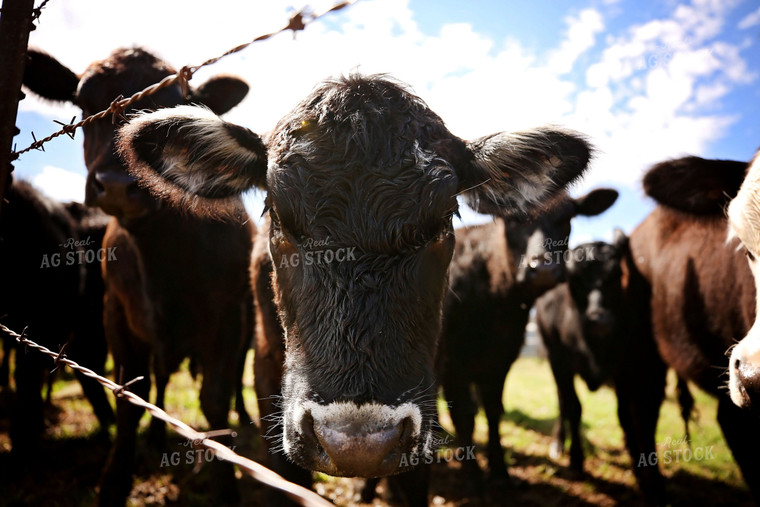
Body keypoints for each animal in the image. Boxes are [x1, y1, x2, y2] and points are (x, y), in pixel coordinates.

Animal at [24, 46, 252, 504]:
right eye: (84, 105)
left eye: (172, 106)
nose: (115, 184)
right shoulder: (116, 314)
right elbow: (131, 398)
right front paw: (114, 481)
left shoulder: (229, 315)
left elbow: (215, 398)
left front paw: (225, 488)